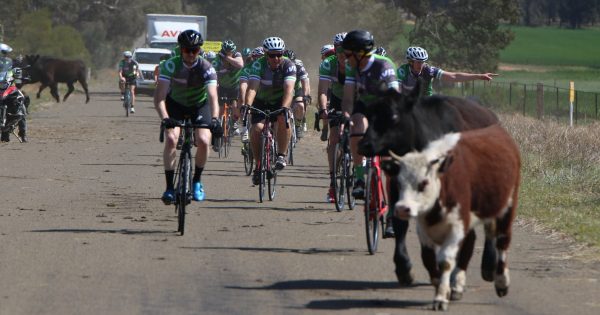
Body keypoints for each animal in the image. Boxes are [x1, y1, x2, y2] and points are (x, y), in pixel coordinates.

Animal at [360, 80, 502, 288]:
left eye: (393, 116)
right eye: (369, 114)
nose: (365, 144)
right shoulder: (397, 188)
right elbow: (400, 224)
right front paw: (404, 268)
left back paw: (488, 265)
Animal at [390, 124, 520, 312]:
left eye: (424, 183)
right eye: (399, 183)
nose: (402, 209)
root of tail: (496, 129)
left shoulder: (457, 226)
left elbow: (445, 261)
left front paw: (441, 298)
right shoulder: (423, 229)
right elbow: (428, 259)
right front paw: (442, 288)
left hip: (507, 206)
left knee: (502, 242)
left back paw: (502, 282)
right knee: (471, 242)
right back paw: (458, 284)